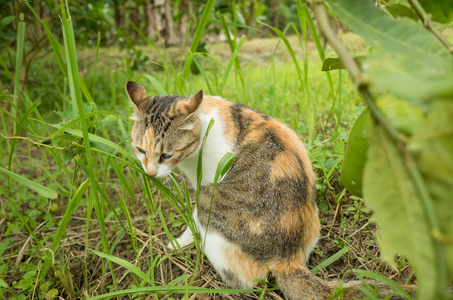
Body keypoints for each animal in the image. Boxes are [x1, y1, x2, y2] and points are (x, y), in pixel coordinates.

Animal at [125, 81, 414, 298]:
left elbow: (190, 223)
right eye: (139, 150)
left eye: (165, 155)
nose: (150, 173)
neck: (204, 123)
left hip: (210, 201)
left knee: (248, 281)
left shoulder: (204, 184)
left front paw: (176, 244)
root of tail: (289, 259)